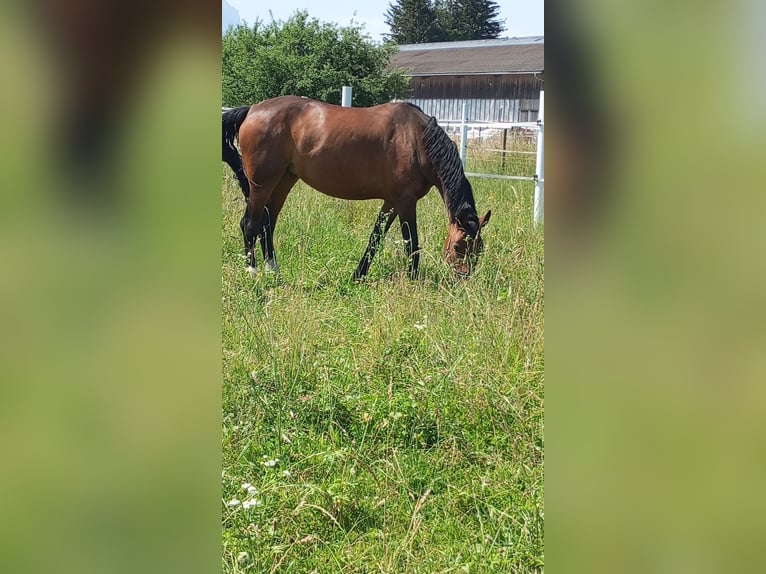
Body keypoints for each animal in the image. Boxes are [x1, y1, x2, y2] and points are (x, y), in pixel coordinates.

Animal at [222, 97, 492, 282]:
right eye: (457, 247)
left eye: (479, 249)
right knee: (250, 223)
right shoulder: (406, 203)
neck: (417, 139)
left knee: (267, 224)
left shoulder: (392, 202)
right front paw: (413, 279)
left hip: (284, 181)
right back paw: (252, 270)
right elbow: (411, 243)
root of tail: (252, 110)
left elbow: (376, 237)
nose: (462, 278)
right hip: (261, 184)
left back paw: (273, 269)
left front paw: (358, 275)